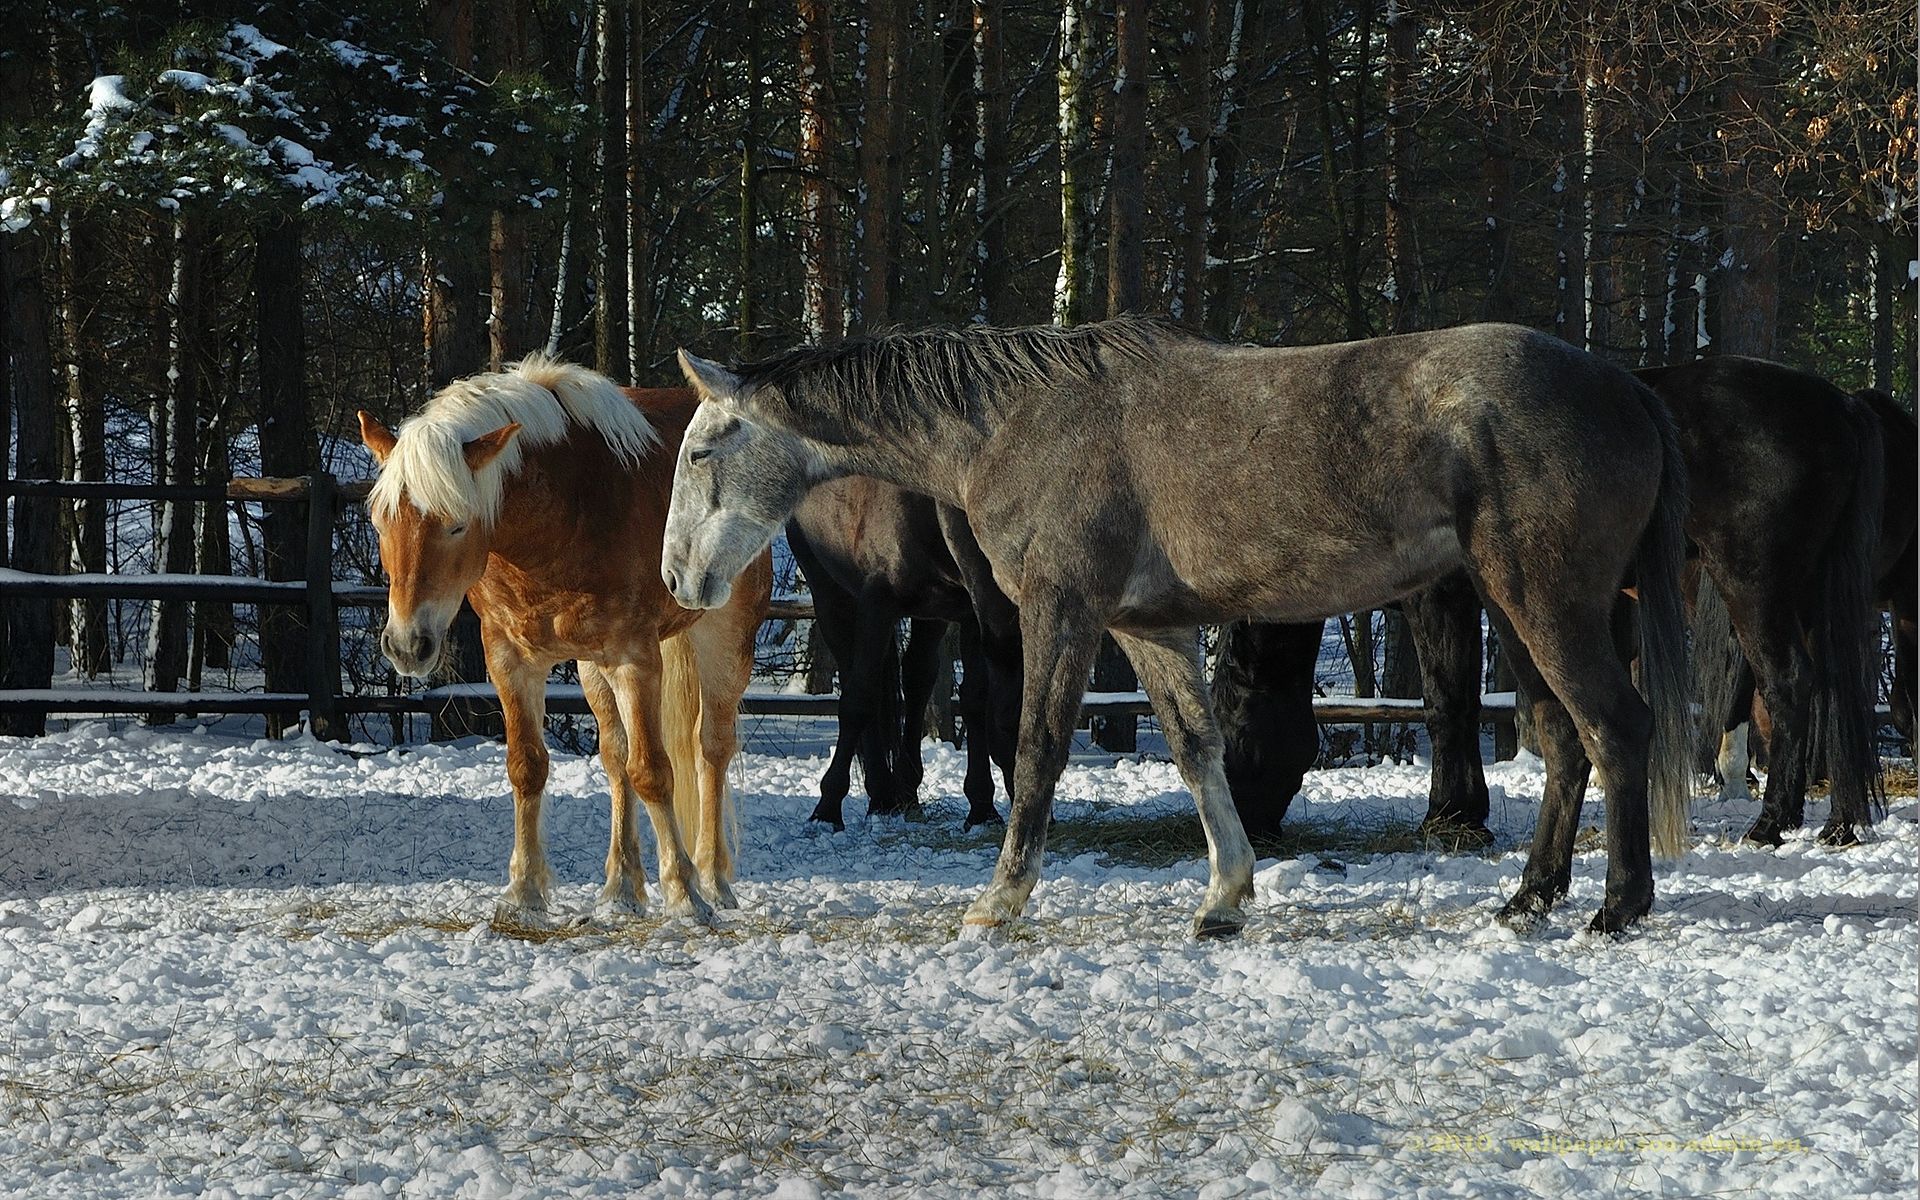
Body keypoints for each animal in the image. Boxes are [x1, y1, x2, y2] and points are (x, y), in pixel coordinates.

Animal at [360, 351, 771, 921]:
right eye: (380, 521)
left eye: (457, 525)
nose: (406, 645)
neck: (566, 509)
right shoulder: (510, 661)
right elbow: (528, 767)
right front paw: (523, 893)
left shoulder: (635, 659)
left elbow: (654, 771)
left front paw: (684, 894)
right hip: (591, 667)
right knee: (616, 758)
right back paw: (621, 889)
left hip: (723, 642)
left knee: (709, 749)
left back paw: (712, 880)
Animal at [783, 472, 1021, 829]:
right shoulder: (877, 602)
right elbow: (858, 701)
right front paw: (827, 809)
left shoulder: (973, 615)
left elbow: (974, 700)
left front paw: (982, 809)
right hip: (830, 594)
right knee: (857, 680)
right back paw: (880, 794)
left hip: (931, 615)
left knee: (917, 679)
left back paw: (906, 792)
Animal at [1221, 355, 1881, 852]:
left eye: (1235, 723)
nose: (1242, 826)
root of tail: (1836, 405)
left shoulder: (1441, 597)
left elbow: (1447, 702)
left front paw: (1453, 817)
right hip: (1807, 592)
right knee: (1833, 686)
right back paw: (1834, 821)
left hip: (1754, 584)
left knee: (1790, 683)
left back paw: (1771, 823)